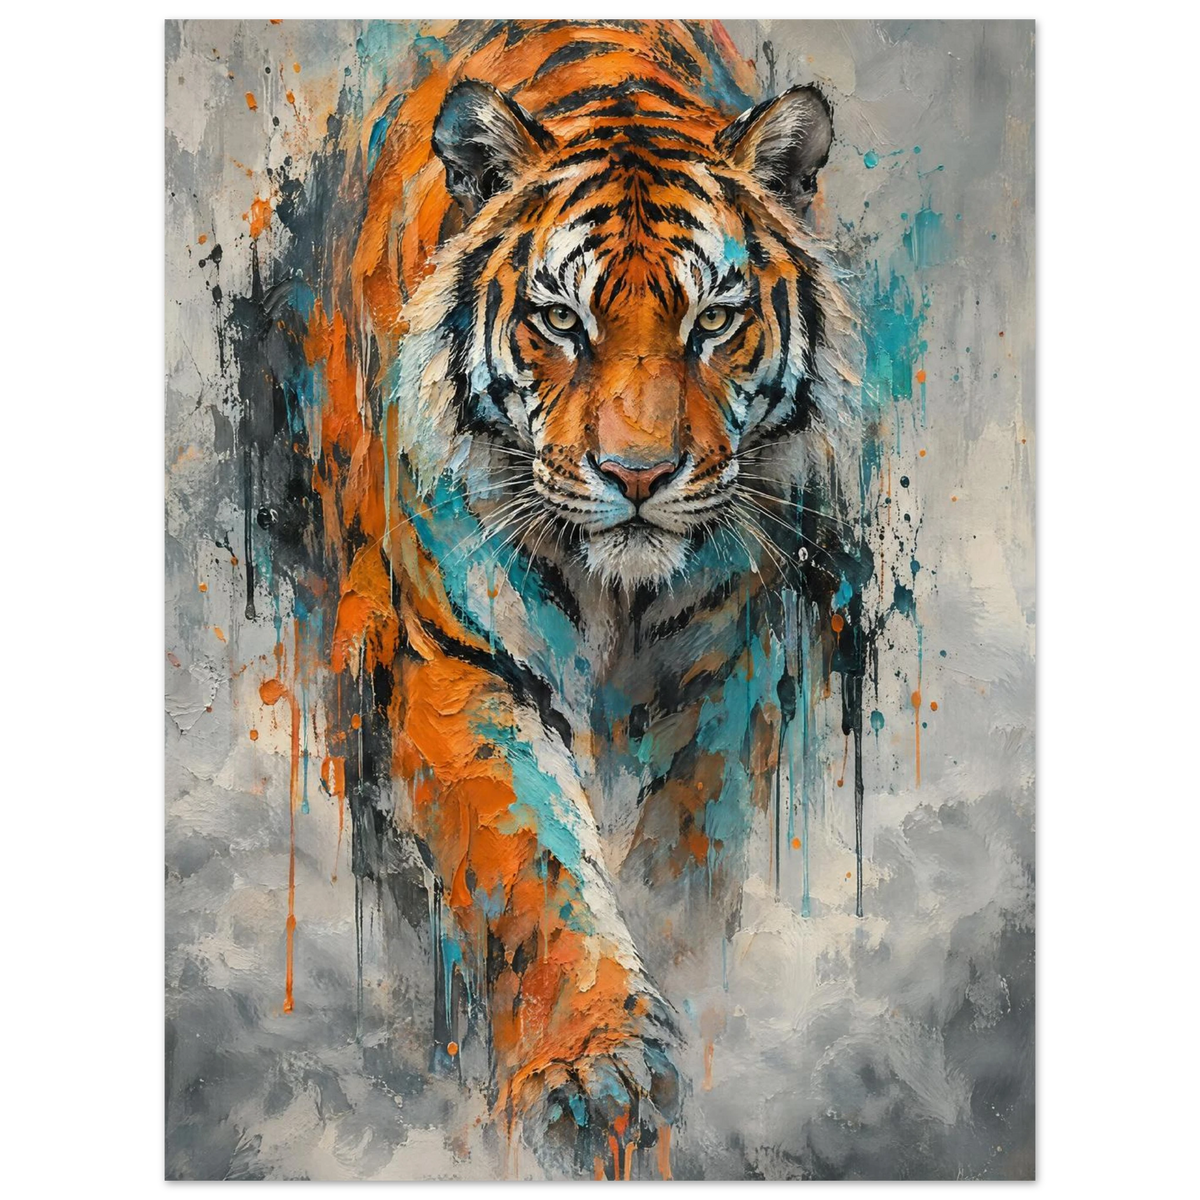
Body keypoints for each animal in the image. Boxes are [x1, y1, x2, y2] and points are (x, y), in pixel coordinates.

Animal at [311, 17, 866, 1177]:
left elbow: (689, 858)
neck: (620, 600)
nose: (639, 474)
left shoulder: (723, 674)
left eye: (717, 320)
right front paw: (594, 1069)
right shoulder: (458, 662)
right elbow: (535, 862)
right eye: (560, 320)